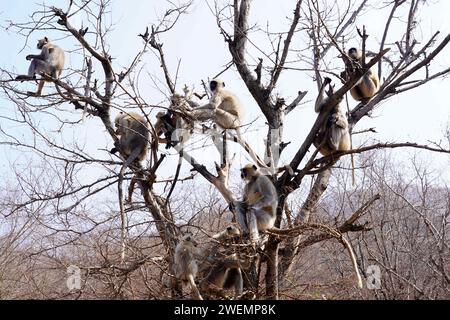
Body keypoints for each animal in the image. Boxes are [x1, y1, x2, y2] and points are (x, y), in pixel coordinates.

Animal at [110, 111, 150, 262]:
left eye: (116, 124)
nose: (116, 128)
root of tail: (139, 145)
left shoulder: (124, 122)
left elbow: (125, 127)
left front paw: (118, 134)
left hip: (128, 143)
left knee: (124, 137)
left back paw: (118, 146)